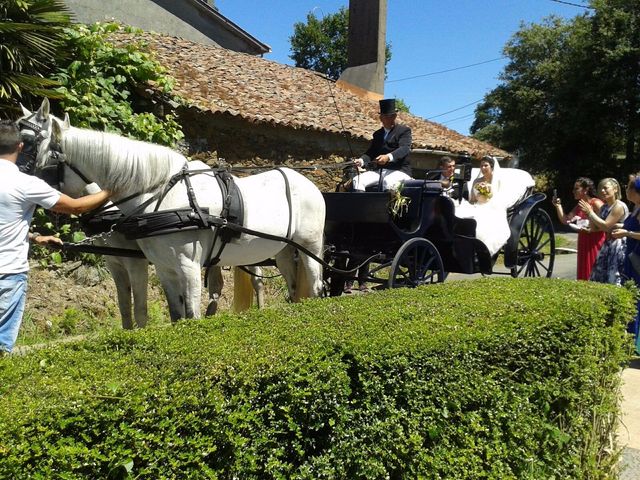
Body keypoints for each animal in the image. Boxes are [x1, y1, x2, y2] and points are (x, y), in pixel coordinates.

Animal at [21, 99, 324, 320]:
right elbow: (173, 315)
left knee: (315, 284)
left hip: (310, 247)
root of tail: (307, 184)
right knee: (293, 287)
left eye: (31, 146)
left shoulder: (185, 266)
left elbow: (188, 314)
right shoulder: (162, 268)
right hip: (283, 251)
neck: (161, 196)